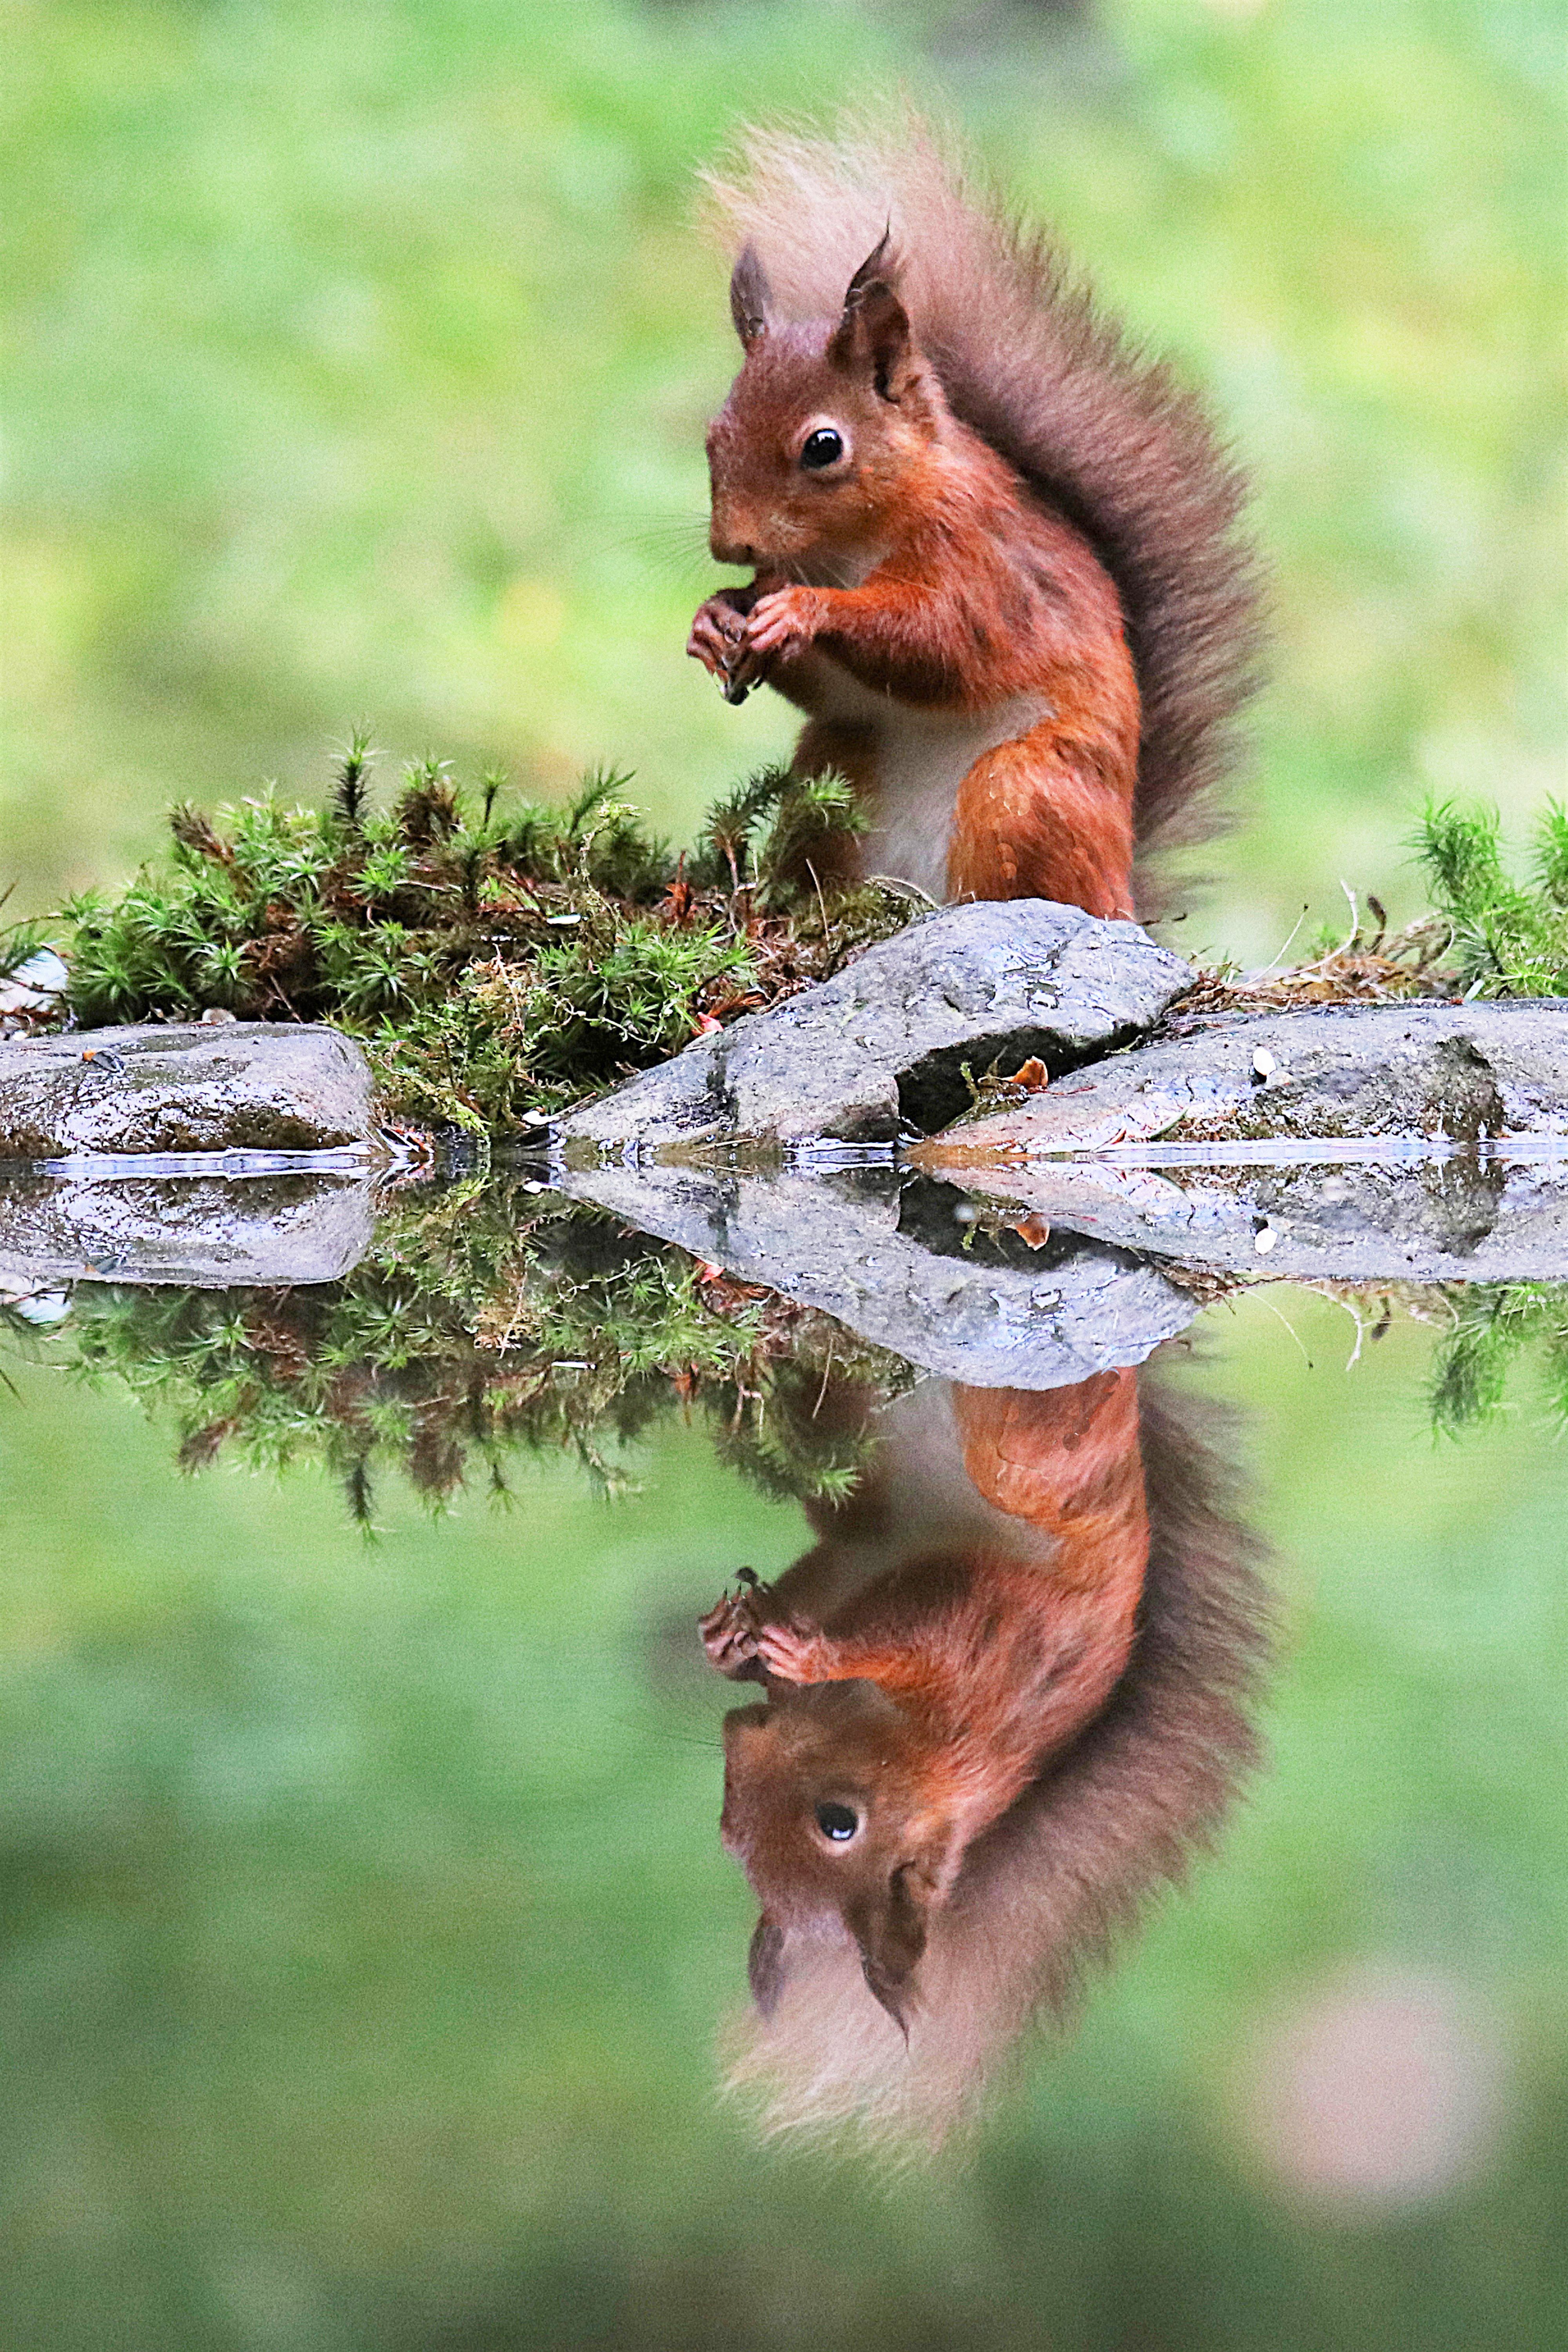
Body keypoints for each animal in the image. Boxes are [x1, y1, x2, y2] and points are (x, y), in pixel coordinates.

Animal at [686, 118, 1263, 920]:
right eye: (713, 438)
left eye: (823, 446)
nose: (729, 545)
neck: (849, 550)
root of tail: (1123, 895)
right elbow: (832, 684)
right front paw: (715, 619)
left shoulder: (981, 558)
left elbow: (943, 641)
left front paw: (804, 612)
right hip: (836, 775)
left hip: (1020, 792)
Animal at [701, 1364, 1274, 2150]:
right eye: (727, 1831)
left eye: (839, 1823)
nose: (741, 1731)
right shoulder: (850, 1565)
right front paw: (727, 1648)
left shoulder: (983, 1641)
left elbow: (913, 1631)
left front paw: (809, 1655)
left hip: (1026, 1461)